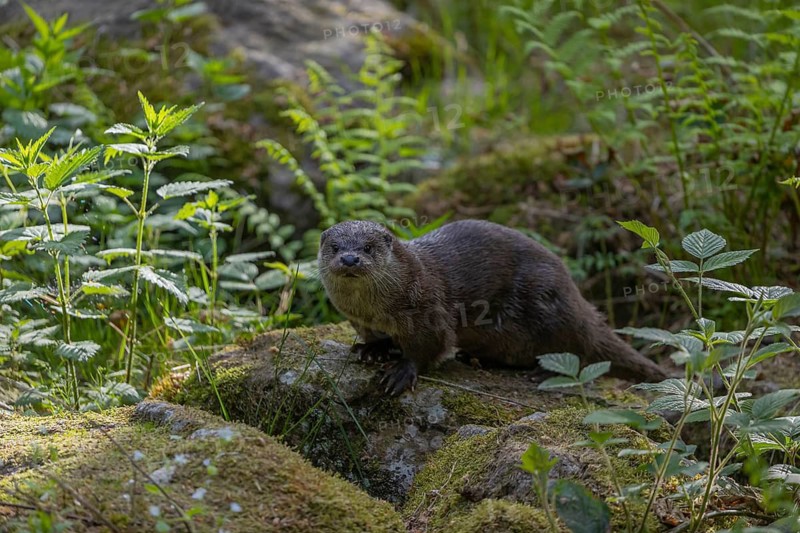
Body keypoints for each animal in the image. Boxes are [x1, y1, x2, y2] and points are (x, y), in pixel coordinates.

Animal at [318, 219, 668, 395]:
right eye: (334, 247)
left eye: (368, 247)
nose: (350, 259)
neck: (375, 310)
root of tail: (574, 294)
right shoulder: (361, 320)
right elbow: (376, 338)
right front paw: (372, 350)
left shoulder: (428, 311)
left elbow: (429, 346)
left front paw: (402, 371)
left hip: (547, 304)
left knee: (578, 347)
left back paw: (541, 372)